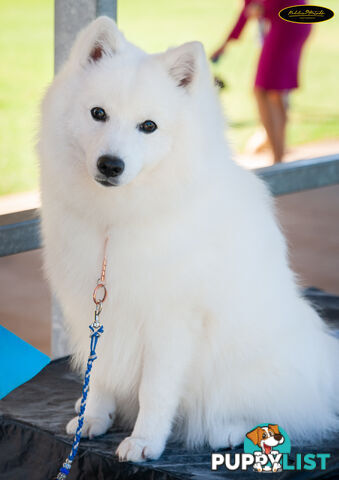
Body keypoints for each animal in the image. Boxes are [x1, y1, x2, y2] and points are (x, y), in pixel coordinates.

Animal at [38, 16, 338, 464]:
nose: (111, 164)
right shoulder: (99, 311)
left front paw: (144, 442)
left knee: (275, 410)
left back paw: (231, 431)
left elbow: (156, 392)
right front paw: (93, 417)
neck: (118, 218)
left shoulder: (170, 323)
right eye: (98, 114)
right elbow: (101, 373)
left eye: (148, 126)